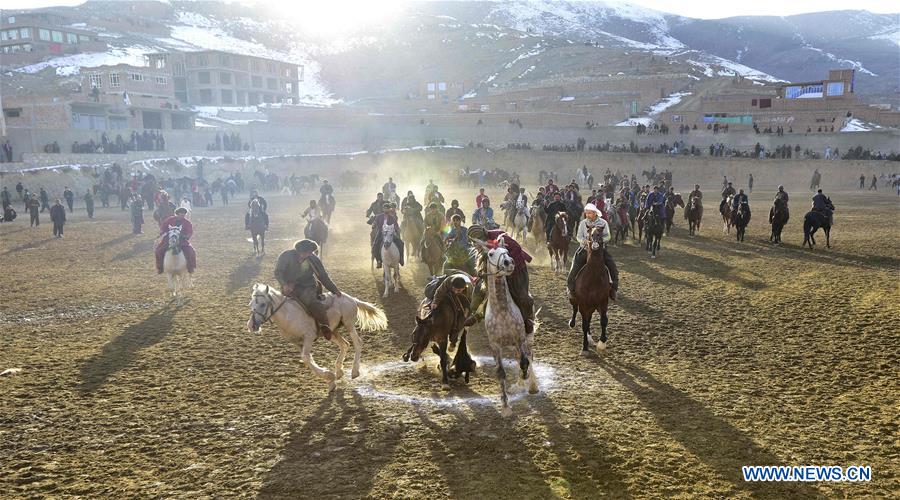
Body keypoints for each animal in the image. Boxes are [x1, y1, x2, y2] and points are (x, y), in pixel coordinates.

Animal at [246, 284, 386, 392]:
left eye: (263, 304)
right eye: (251, 304)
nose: (251, 325)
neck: (289, 315)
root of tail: (351, 298)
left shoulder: (308, 337)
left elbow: (305, 357)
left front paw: (329, 376)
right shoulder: (296, 342)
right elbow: (307, 359)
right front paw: (330, 380)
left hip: (349, 324)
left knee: (358, 343)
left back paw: (354, 371)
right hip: (332, 331)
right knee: (344, 344)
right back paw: (339, 371)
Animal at [468, 236, 536, 416]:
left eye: (506, 251)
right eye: (491, 254)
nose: (508, 262)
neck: (502, 311)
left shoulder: (519, 339)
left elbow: (524, 363)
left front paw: (525, 378)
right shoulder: (495, 346)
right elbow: (501, 373)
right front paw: (505, 406)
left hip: (526, 338)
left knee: (529, 356)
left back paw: (532, 384)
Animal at [568, 227, 612, 356]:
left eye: (600, 231)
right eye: (590, 232)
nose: (595, 237)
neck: (594, 277)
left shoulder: (603, 302)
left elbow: (603, 321)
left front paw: (602, 343)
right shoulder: (583, 304)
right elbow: (584, 324)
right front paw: (584, 348)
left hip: (592, 306)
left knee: (589, 319)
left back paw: (590, 338)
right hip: (575, 299)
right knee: (575, 310)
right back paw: (572, 323)